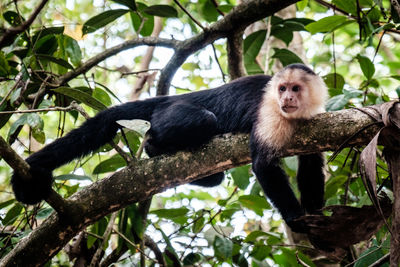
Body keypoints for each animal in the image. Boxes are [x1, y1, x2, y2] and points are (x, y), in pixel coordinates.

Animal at [10, 63, 328, 233]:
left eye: (295, 89)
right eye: (281, 89)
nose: (286, 99)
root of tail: (170, 98)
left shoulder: (314, 119)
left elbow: (312, 165)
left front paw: (318, 216)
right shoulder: (271, 113)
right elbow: (263, 164)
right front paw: (297, 219)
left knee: (216, 178)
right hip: (174, 112)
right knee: (205, 120)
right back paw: (153, 145)